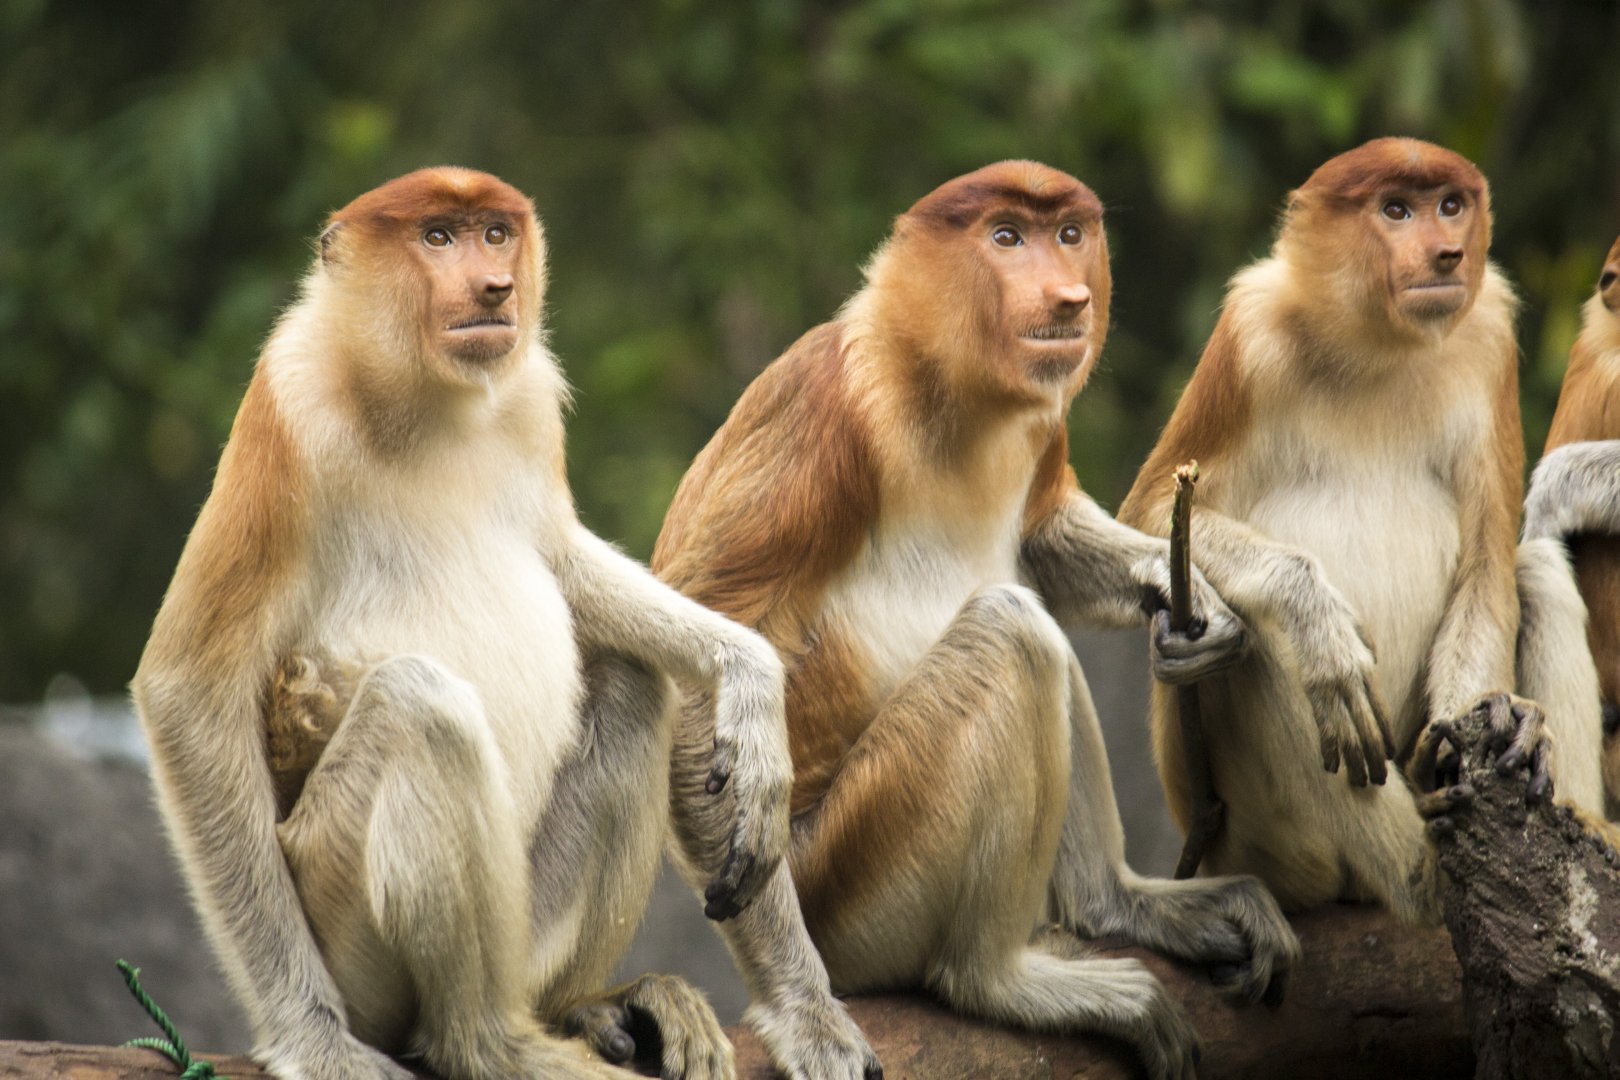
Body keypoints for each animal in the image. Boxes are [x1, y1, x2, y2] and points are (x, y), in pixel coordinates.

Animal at [130, 167, 874, 1080]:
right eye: (436, 237)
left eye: (495, 233)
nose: (496, 288)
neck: (427, 400)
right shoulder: (286, 411)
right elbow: (188, 688)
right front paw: (314, 1041)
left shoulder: (529, 399)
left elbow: (559, 556)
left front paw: (748, 677)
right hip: (335, 912)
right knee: (421, 706)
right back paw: (490, 1043)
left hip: (527, 920)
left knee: (631, 680)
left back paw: (585, 1006)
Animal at [652, 161, 1301, 1080]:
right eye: (1005, 237)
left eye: (1068, 234)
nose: (1069, 296)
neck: (940, 388)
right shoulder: (819, 417)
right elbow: (707, 656)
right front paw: (805, 1016)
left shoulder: (1041, 425)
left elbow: (1043, 535)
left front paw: (1193, 610)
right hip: (848, 874)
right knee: (1011, 629)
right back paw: (997, 980)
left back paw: (1121, 905)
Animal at [1117, 138, 1557, 924]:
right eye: (1395, 210)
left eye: (1451, 205)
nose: (1447, 254)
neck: (1377, 345)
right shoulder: (1247, 331)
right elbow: (1149, 508)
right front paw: (1320, 626)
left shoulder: (1488, 337)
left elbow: (1487, 565)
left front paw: (1504, 719)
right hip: (1258, 843)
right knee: (1261, 640)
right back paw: (1424, 875)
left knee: (1532, 570)